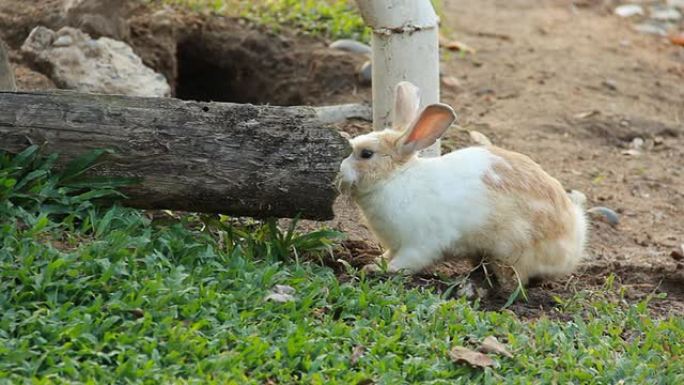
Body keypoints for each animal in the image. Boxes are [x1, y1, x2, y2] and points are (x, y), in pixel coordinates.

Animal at [336, 80, 588, 284]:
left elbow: (408, 261)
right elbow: (388, 254)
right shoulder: (395, 244)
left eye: (366, 154)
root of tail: (574, 240)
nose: (339, 172)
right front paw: (374, 263)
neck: (395, 179)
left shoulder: (420, 244)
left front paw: (381, 269)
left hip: (513, 250)